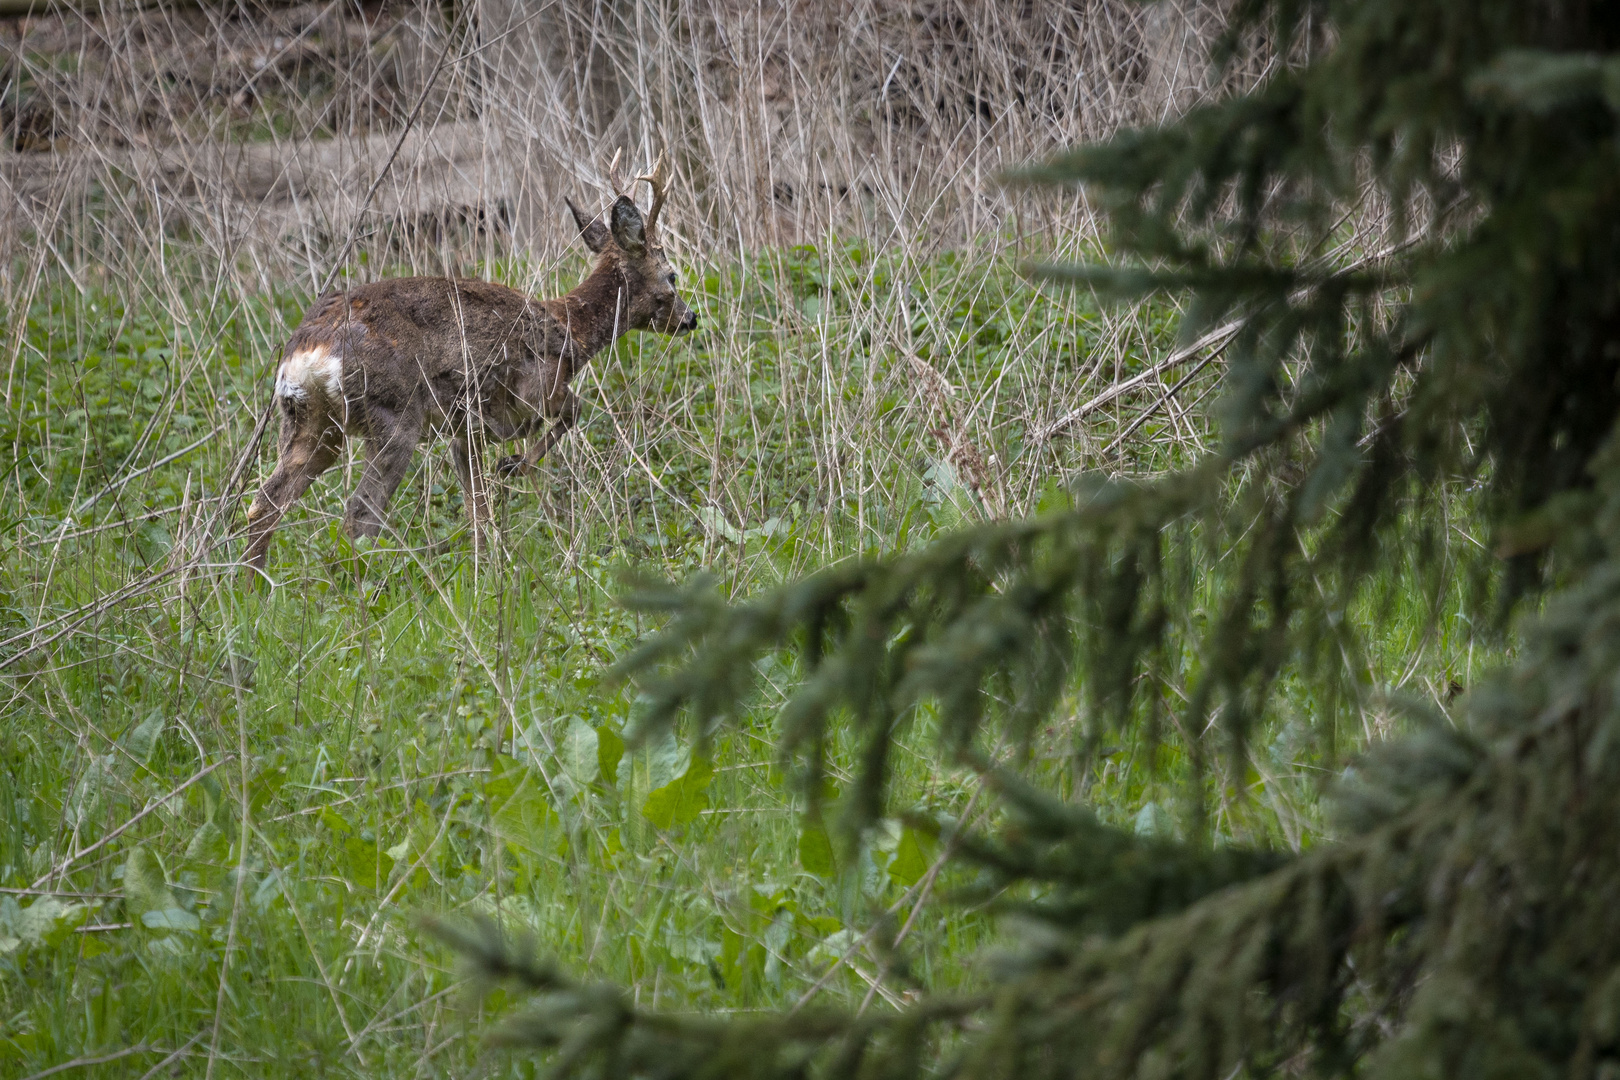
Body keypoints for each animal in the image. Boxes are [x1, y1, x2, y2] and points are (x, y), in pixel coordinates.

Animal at [241, 153, 696, 573]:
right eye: (672, 274)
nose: (690, 318)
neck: (570, 331)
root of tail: (309, 349)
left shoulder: (465, 431)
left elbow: (477, 507)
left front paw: (487, 566)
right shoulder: (534, 391)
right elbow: (573, 410)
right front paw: (513, 467)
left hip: (309, 421)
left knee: (265, 502)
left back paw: (254, 587)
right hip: (392, 414)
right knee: (359, 512)